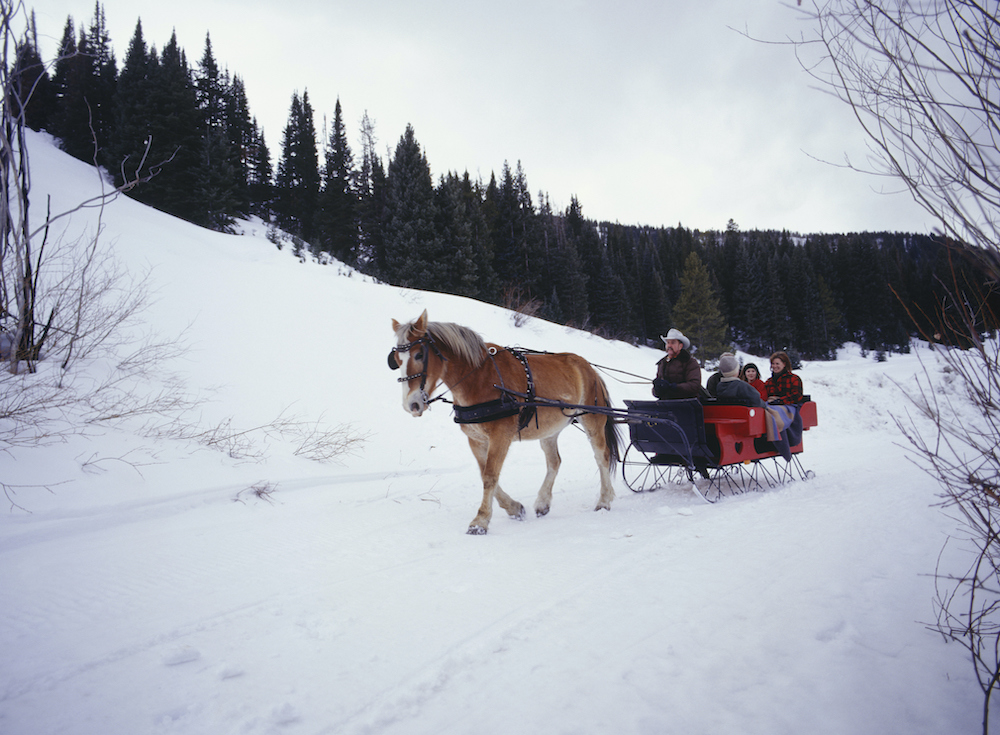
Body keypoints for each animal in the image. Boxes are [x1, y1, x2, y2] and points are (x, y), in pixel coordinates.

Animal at [388, 310, 616, 536]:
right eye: (397, 359)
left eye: (419, 355)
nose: (411, 404)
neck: (479, 378)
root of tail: (590, 369)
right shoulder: (476, 439)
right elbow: (486, 474)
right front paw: (514, 508)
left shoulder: (500, 437)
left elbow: (490, 476)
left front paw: (480, 521)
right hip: (550, 430)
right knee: (554, 462)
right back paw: (543, 503)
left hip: (592, 420)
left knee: (602, 456)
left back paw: (604, 500)